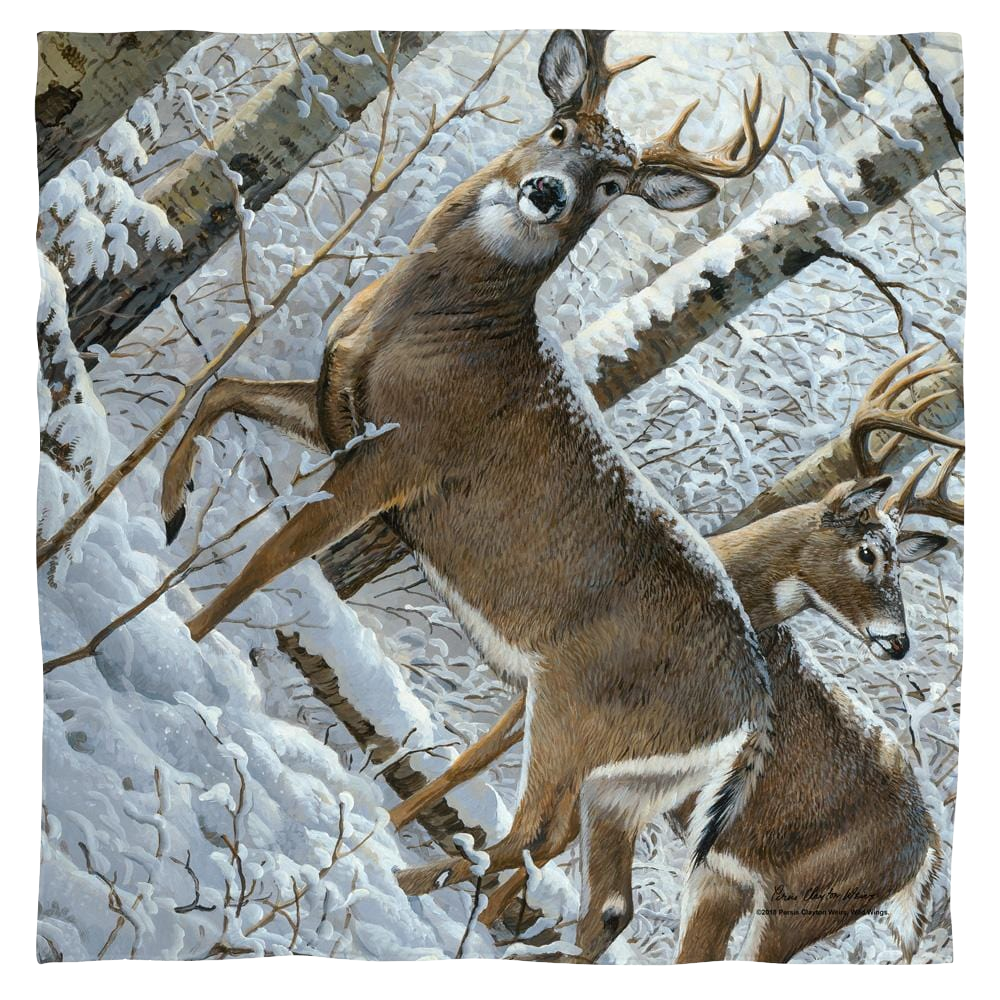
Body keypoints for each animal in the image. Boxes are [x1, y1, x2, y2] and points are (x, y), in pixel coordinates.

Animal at [160, 29, 785, 962]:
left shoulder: (401, 457)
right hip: (628, 772)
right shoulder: (339, 415)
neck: (441, 330)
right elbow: (222, 389)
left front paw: (183, 636)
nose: (546, 192)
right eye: (561, 129)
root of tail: (750, 710)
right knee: (594, 877)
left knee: (540, 835)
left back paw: (405, 883)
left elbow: (273, 555)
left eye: (614, 185)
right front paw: (169, 511)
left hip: (576, 711)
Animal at [390, 349, 962, 963]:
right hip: (726, 875)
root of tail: (927, 852)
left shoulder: (570, 700)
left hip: (800, 902)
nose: (898, 642)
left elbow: (517, 798)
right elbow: (495, 776)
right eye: (869, 552)